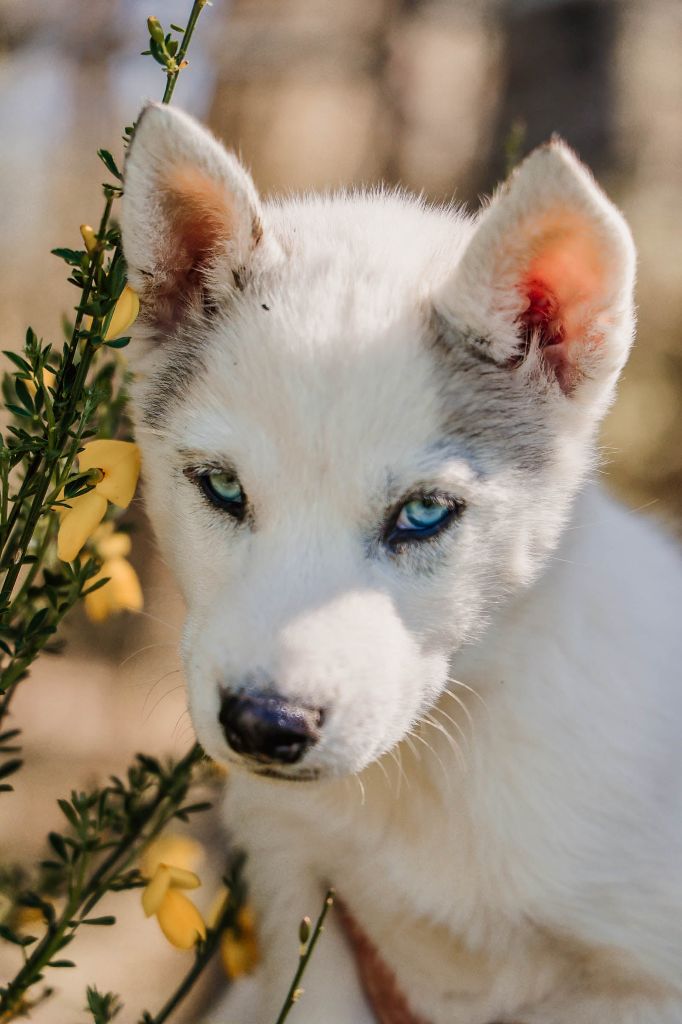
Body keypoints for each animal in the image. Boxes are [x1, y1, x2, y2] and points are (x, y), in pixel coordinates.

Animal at [119, 105, 679, 1024]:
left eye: (423, 514)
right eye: (223, 487)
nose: (265, 725)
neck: (424, 771)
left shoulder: (640, 979)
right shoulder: (300, 897)